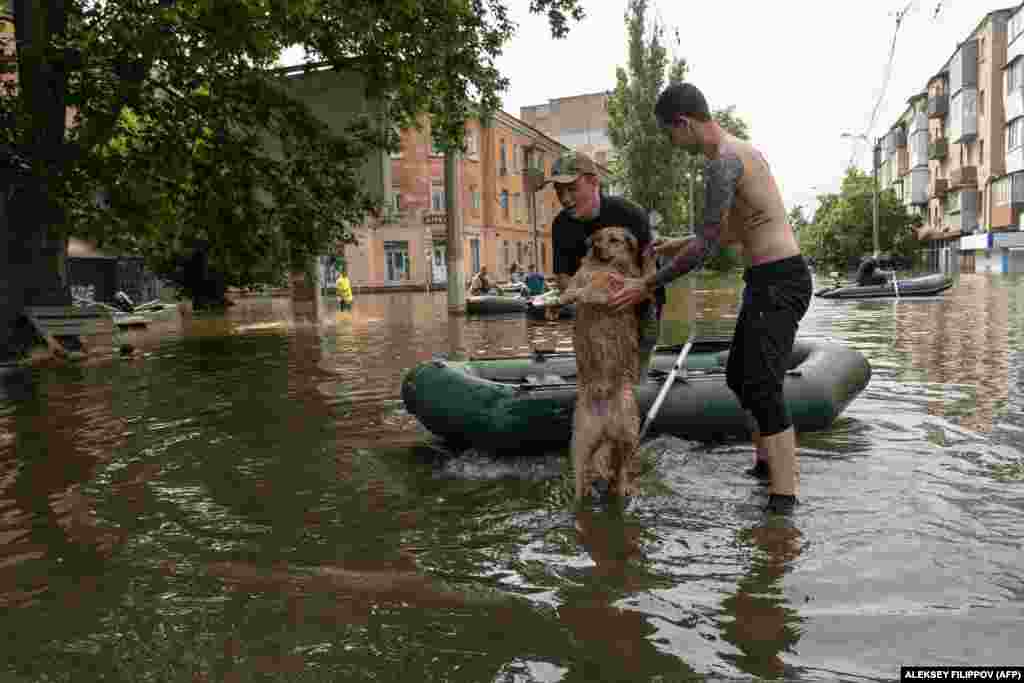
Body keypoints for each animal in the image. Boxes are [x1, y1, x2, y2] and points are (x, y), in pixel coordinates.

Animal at [561, 227, 655, 499]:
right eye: (597, 238)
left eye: (614, 240)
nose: (595, 247)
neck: (601, 264)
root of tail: (605, 424)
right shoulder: (581, 276)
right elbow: (575, 285)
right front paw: (564, 297)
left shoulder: (615, 284)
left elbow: (597, 285)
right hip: (581, 445)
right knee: (586, 477)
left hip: (629, 434)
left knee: (622, 471)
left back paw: (623, 487)